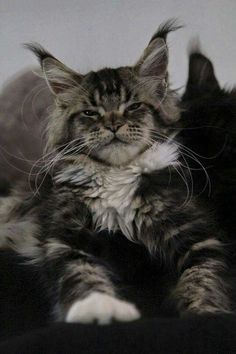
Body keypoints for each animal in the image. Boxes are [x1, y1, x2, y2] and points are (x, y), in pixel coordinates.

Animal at [0, 20, 232, 324]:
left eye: (133, 106)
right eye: (90, 113)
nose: (112, 125)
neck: (116, 176)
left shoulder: (199, 237)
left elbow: (202, 279)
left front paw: (205, 313)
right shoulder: (66, 241)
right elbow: (83, 275)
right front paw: (99, 307)